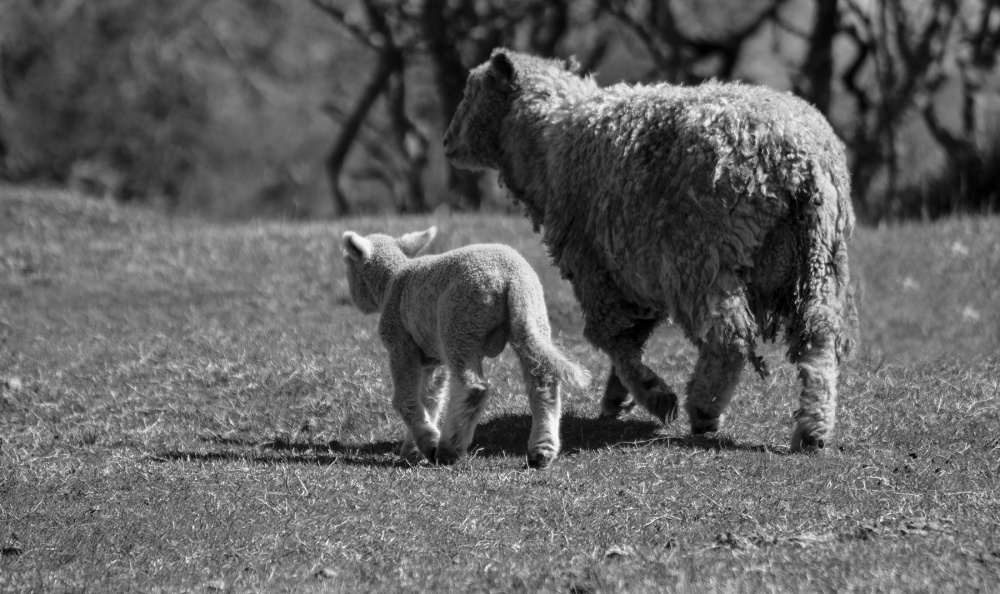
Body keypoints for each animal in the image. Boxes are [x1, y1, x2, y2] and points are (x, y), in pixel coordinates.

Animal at [344, 224, 592, 464]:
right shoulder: (433, 356)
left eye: (347, 264)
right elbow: (430, 399)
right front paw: (414, 449)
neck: (391, 280)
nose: (355, 302)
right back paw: (541, 451)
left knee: (473, 388)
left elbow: (405, 400)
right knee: (542, 383)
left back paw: (448, 450)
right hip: (530, 318)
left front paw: (428, 444)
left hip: (460, 326)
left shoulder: (400, 344)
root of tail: (512, 276)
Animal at [446, 49, 860, 448]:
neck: (550, 141)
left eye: (471, 91)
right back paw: (813, 429)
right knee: (819, 335)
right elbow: (632, 337)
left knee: (728, 338)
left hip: (704, 258)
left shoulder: (595, 268)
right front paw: (618, 397)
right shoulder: (632, 274)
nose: (447, 142)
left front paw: (652, 394)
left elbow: (612, 337)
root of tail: (796, 157)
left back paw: (705, 409)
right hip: (819, 259)